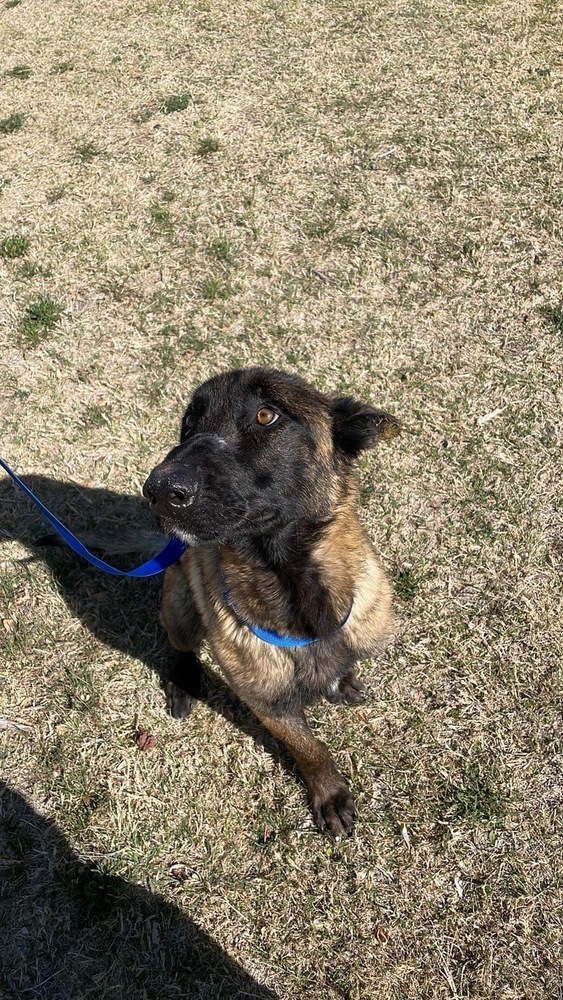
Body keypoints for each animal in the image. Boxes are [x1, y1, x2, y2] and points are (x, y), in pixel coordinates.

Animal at [143, 368, 398, 836]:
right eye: (190, 421)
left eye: (267, 415)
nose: (159, 491)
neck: (293, 585)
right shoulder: (269, 706)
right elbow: (310, 750)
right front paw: (329, 795)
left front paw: (343, 679)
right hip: (181, 605)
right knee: (179, 644)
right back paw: (182, 680)